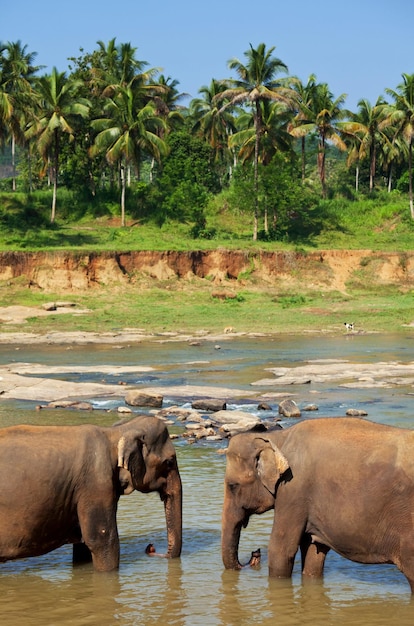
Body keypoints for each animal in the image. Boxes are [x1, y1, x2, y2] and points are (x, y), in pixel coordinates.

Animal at [0, 414, 183, 572]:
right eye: (170, 462)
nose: (151, 546)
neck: (115, 432)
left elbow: (83, 546)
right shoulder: (95, 483)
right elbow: (102, 539)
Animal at [223, 414, 414, 588]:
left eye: (232, 486)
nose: (255, 554)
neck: (279, 438)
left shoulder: (293, 489)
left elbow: (281, 549)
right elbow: (314, 553)